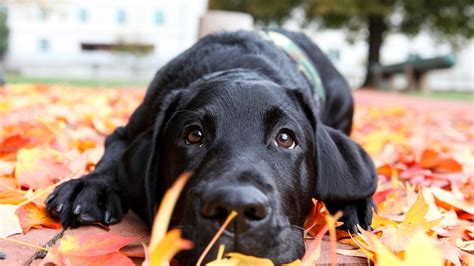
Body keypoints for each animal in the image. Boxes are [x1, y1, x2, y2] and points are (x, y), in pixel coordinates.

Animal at [45, 29, 378, 264]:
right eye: (194, 135)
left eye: (285, 138)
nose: (236, 207)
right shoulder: (128, 130)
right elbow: (112, 155)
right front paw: (90, 187)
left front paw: (354, 202)